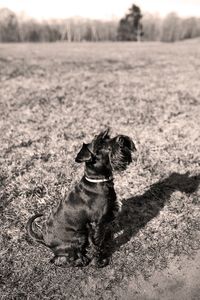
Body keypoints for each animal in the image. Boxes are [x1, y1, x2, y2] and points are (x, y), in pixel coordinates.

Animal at [26, 129, 136, 268]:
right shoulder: (96, 223)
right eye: (99, 145)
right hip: (78, 237)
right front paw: (99, 262)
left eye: (107, 137)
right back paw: (82, 260)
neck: (97, 182)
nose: (121, 139)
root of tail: (43, 238)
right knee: (60, 259)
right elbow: (96, 245)